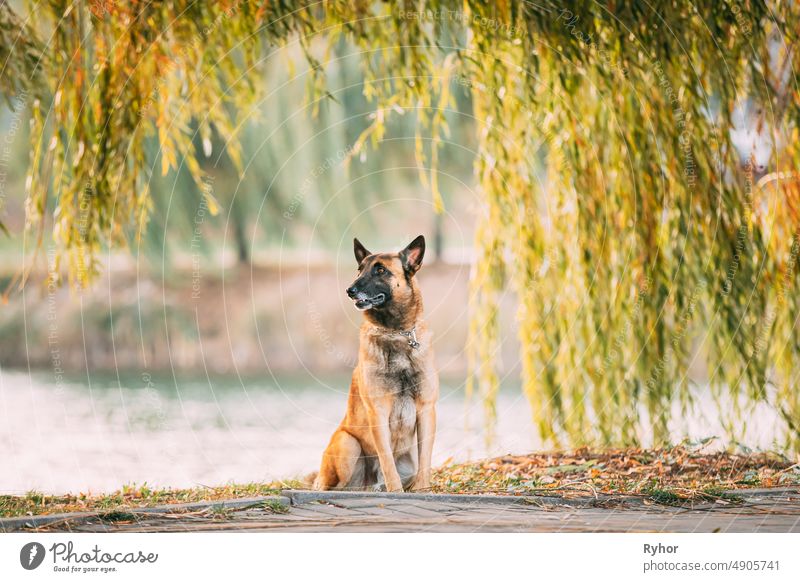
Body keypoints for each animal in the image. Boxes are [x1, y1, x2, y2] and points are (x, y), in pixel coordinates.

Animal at [312, 235, 438, 490]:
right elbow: (387, 461)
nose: (349, 290)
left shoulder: (426, 409)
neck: (397, 333)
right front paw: (396, 490)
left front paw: (423, 489)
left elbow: (425, 459)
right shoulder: (378, 412)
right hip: (348, 443)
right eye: (359, 270)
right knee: (333, 486)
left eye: (381, 270)